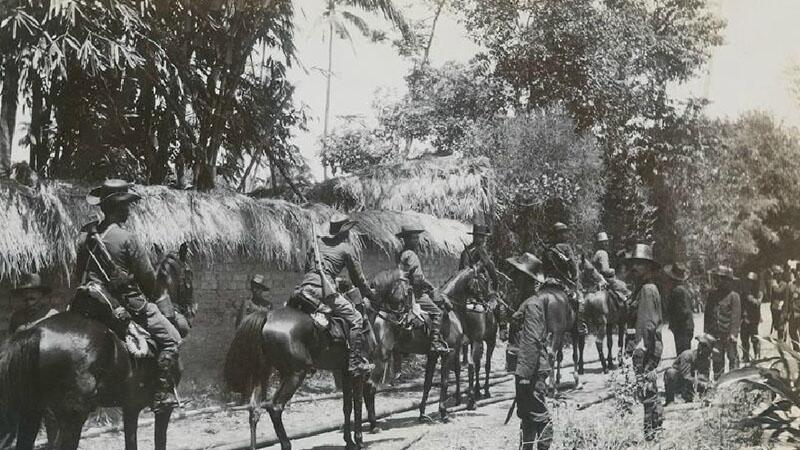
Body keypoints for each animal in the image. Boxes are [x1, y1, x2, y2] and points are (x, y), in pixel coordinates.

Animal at [0, 244, 194, 448]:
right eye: (188, 272)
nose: (192, 310)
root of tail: (36, 332)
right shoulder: (162, 410)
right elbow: (160, 441)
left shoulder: (131, 406)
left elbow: (131, 442)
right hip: (72, 416)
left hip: (32, 412)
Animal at [222, 292, 378, 450]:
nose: (374, 426)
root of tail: (268, 316)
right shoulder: (357, 373)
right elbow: (358, 403)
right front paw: (358, 441)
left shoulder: (345, 372)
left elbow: (347, 406)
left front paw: (349, 441)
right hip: (296, 374)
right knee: (275, 407)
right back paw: (286, 444)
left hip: (264, 374)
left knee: (254, 410)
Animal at [370, 268, 468, 424]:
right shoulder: (448, 353)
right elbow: (445, 382)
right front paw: (443, 412)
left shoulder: (433, 355)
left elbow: (427, 383)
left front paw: (422, 414)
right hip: (381, 358)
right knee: (370, 387)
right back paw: (373, 423)